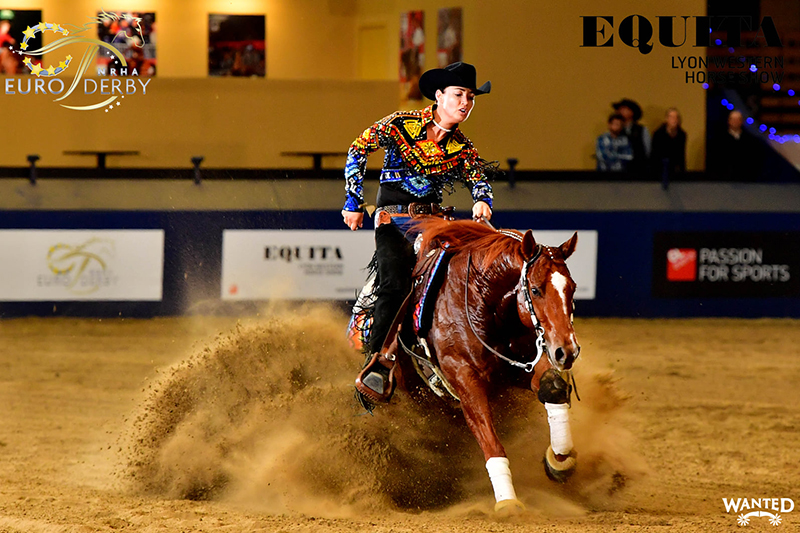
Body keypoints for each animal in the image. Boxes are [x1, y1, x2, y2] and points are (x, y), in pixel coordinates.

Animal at [368, 217, 580, 512]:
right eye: (536, 289)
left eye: (572, 288)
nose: (566, 351)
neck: (486, 306)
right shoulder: (466, 381)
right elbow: (490, 440)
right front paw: (508, 503)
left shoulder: (519, 369)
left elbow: (553, 387)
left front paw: (560, 460)